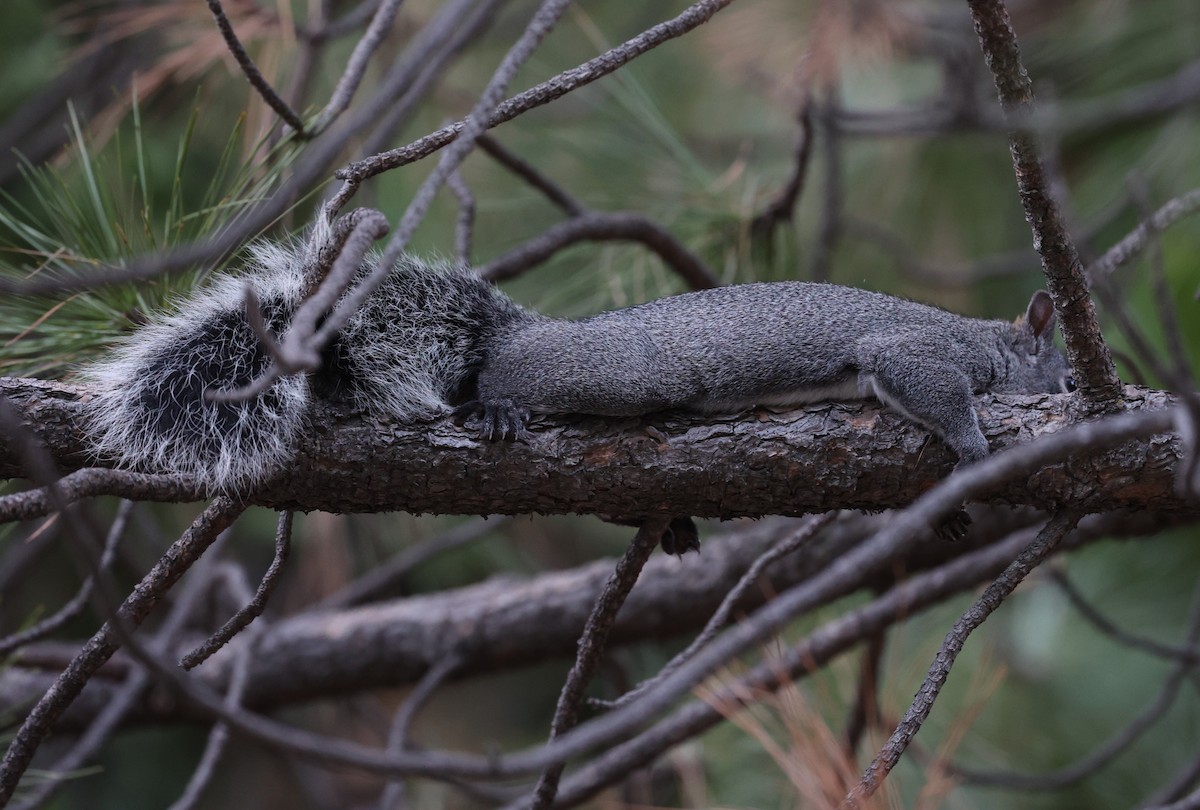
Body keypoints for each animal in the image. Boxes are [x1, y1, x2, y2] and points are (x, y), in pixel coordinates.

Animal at [83, 230, 1074, 503]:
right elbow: (931, 388)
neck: (986, 339)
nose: (1077, 390)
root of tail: (525, 332)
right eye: (1066, 374)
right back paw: (497, 407)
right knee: (495, 380)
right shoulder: (921, 354)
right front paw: (975, 444)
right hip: (628, 375)